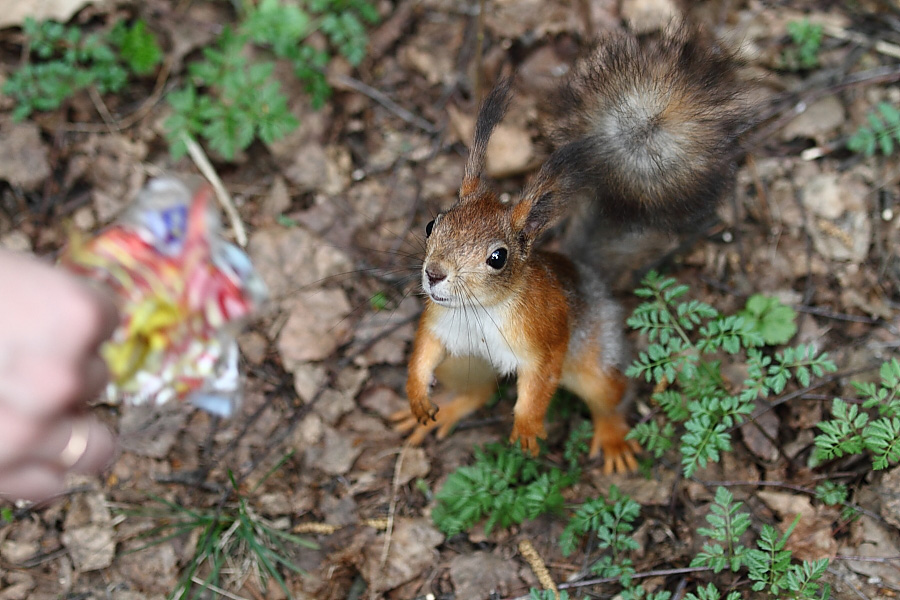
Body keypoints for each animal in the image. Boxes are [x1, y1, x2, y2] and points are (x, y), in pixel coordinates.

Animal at [394, 23, 744, 474]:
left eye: (497, 257)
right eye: (431, 224)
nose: (434, 274)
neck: (480, 311)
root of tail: (587, 274)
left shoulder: (546, 336)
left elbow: (540, 385)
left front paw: (527, 428)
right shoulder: (438, 325)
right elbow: (422, 353)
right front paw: (417, 396)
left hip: (594, 362)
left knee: (611, 397)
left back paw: (613, 439)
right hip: (465, 363)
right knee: (478, 391)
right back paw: (445, 410)